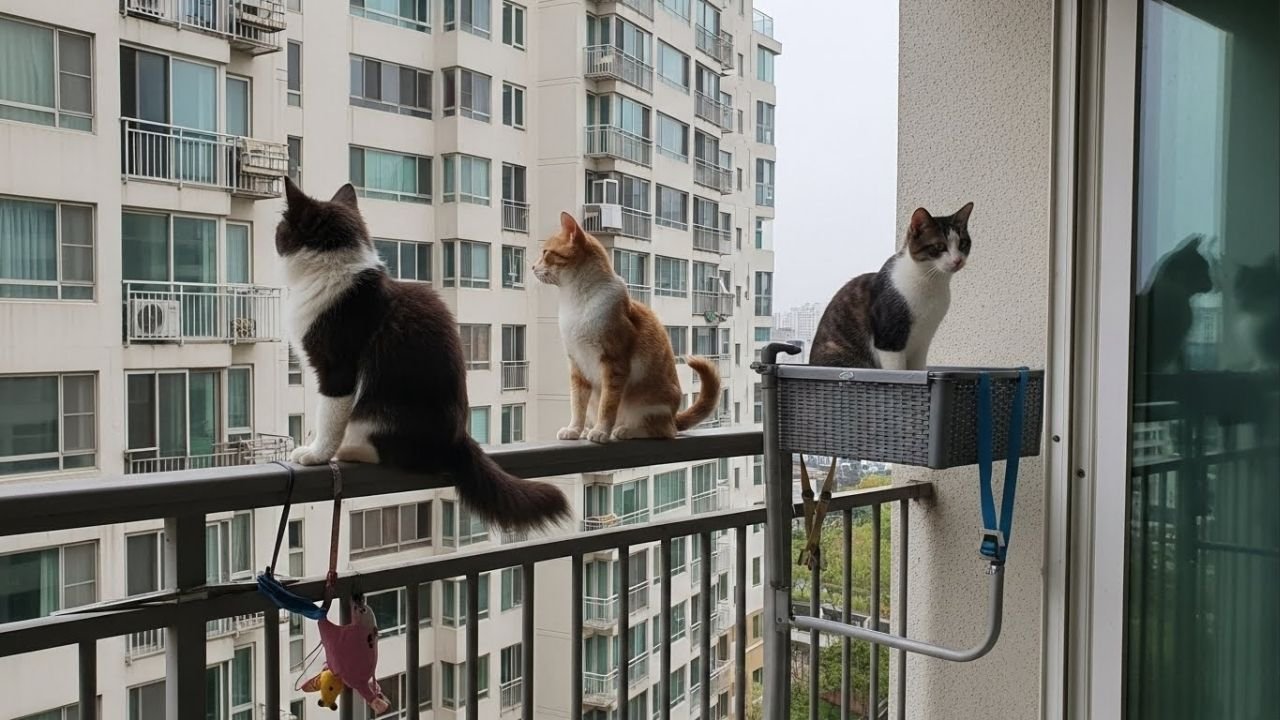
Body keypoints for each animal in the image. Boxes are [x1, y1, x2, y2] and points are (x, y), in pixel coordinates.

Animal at [275, 178, 569, 531]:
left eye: (280, 228)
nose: (276, 235)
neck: (334, 271)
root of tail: (458, 439)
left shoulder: (337, 366)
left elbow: (329, 415)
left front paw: (317, 454)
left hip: (381, 410)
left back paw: (351, 449)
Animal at [533, 212, 721, 443]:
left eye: (546, 253)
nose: (532, 267)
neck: (575, 302)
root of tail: (674, 417)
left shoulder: (614, 362)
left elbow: (608, 404)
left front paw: (601, 431)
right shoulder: (577, 364)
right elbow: (577, 404)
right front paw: (574, 429)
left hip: (649, 404)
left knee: (662, 430)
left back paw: (624, 430)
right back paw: (588, 429)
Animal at [810, 203, 974, 370]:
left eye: (963, 243)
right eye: (939, 246)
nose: (958, 260)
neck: (930, 283)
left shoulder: (923, 341)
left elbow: (918, 367)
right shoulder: (889, 337)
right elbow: (897, 368)